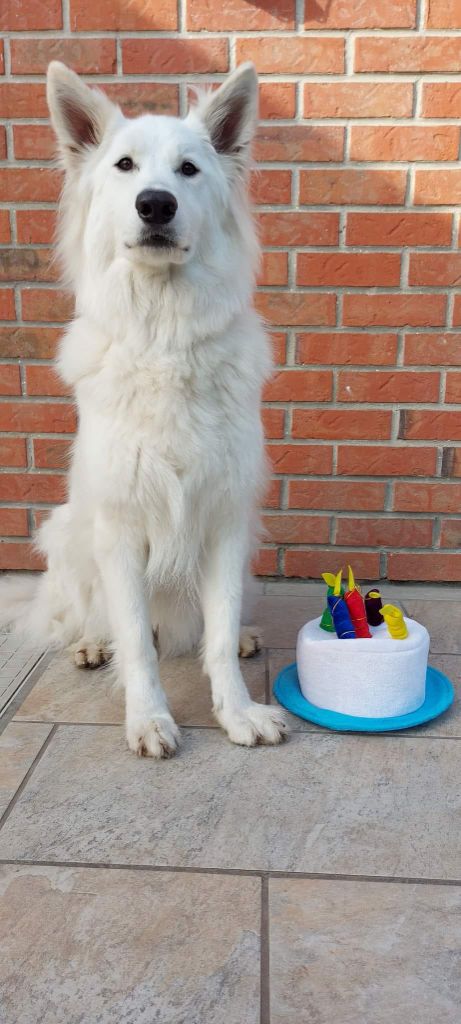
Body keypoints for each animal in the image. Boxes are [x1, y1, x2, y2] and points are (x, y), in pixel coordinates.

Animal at [0, 61, 287, 757]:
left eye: (189, 169)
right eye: (125, 165)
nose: (155, 204)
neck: (165, 342)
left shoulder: (225, 522)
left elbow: (217, 635)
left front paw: (237, 711)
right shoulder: (121, 531)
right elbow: (136, 641)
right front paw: (149, 718)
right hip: (68, 534)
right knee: (87, 616)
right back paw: (88, 643)